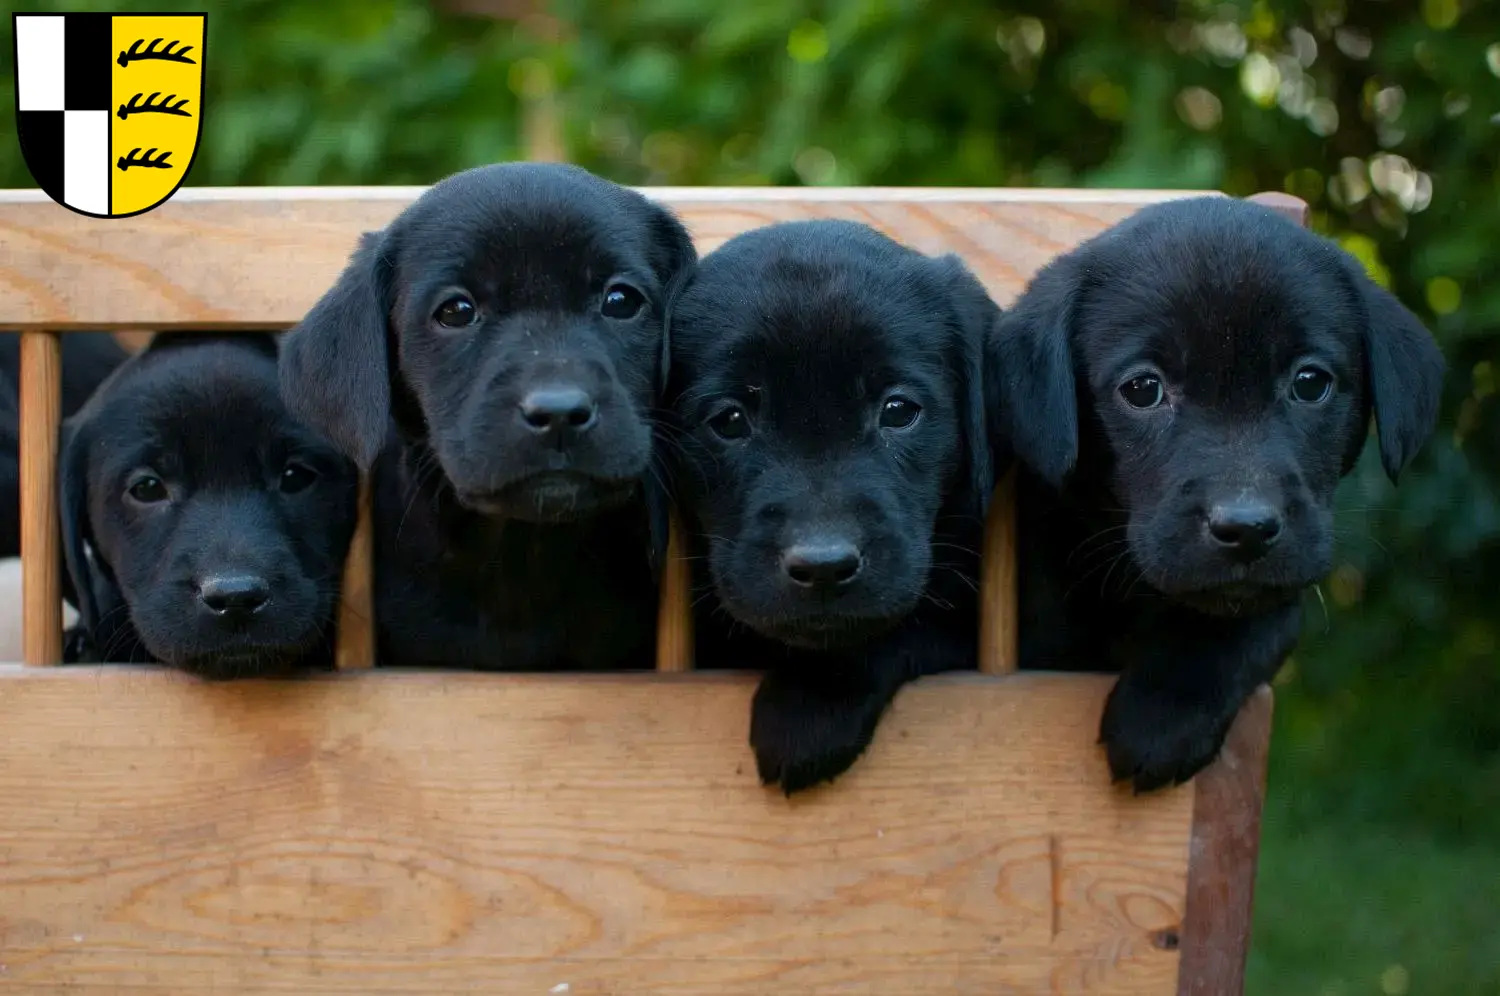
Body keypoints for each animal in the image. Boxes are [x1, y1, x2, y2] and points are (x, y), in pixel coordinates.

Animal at [990, 196, 1446, 792]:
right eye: (1143, 389)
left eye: (1310, 382)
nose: (1247, 529)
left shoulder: (1284, 579)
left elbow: (1252, 618)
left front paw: (1162, 716)